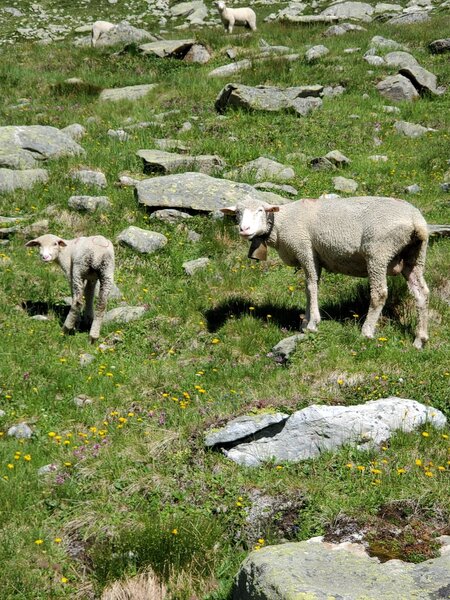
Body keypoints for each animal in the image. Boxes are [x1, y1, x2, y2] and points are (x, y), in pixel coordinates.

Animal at [223, 195, 430, 350]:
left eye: (260, 210)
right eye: (238, 213)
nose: (244, 229)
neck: (281, 224)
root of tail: (415, 220)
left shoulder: (305, 249)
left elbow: (311, 286)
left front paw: (312, 323)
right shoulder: (314, 257)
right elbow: (309, 287)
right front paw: (305, 322)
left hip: (378, 252)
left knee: (379, 293)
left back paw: (366, 331)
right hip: (415, 256)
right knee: (421, 293)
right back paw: (420, 339)